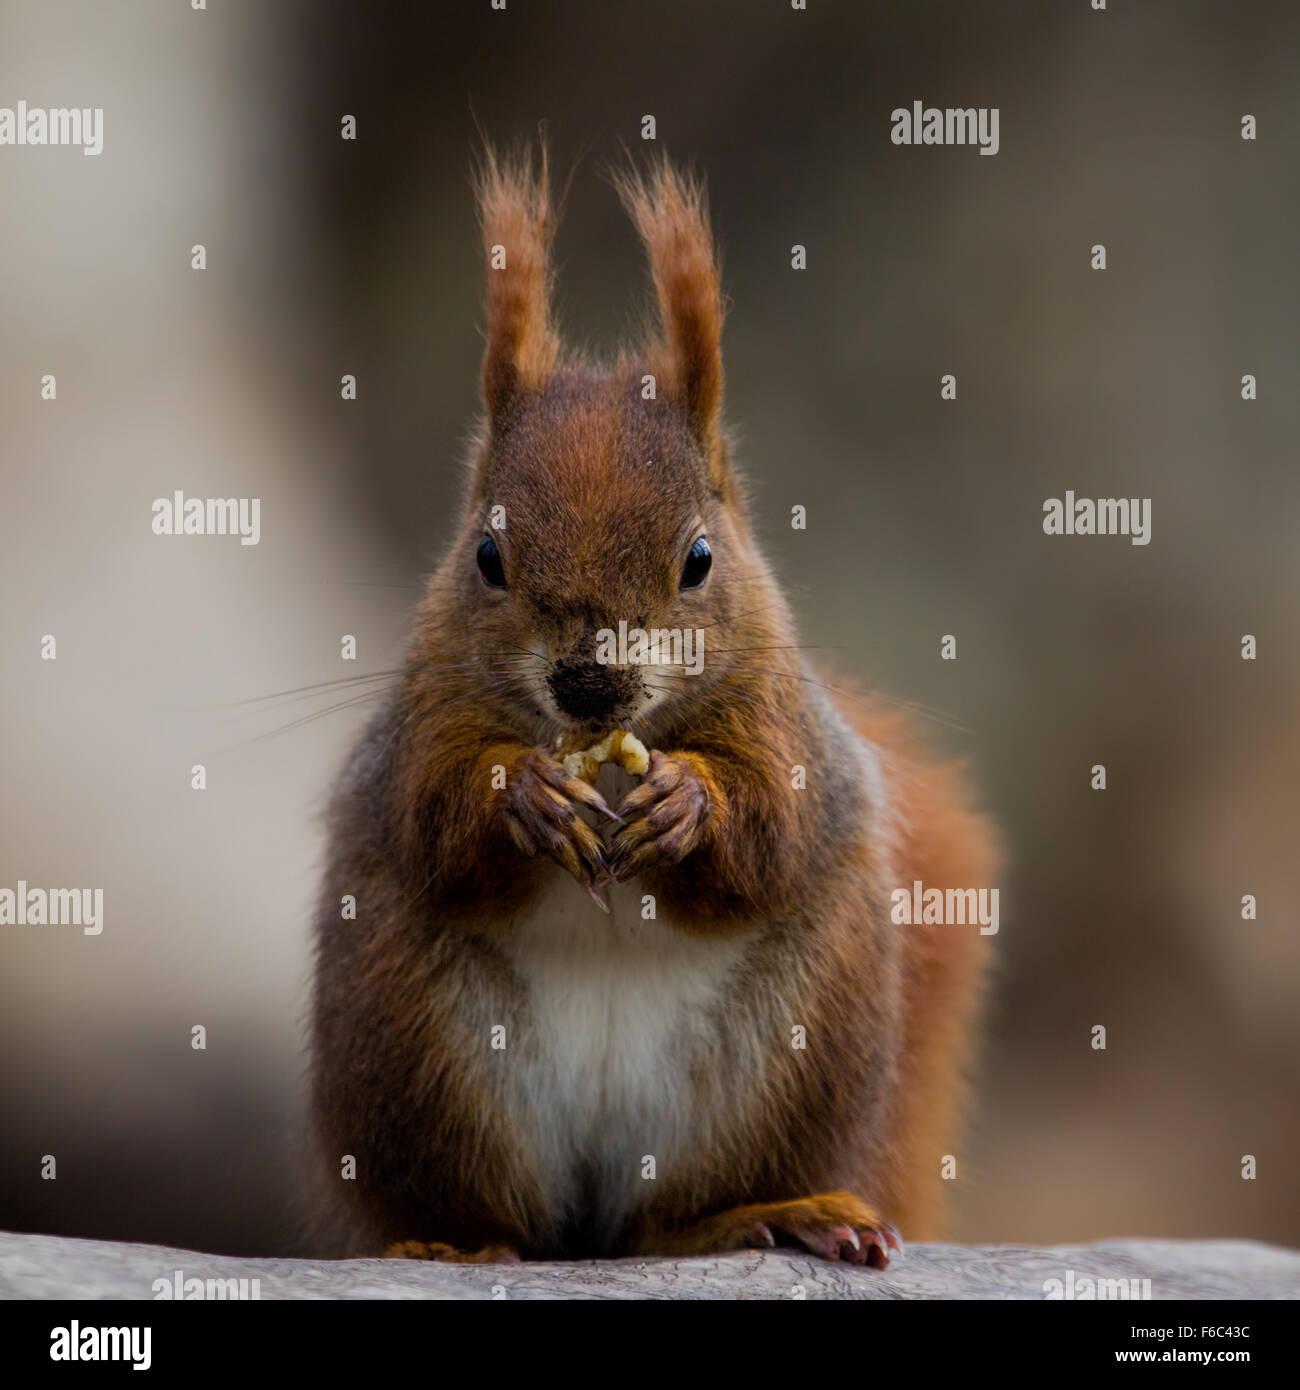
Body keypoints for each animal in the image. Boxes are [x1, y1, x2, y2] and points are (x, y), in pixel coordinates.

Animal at [307, 144, 997, 1268]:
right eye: (486, 556)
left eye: (699, 558)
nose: (589, 682)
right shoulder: (421, 720)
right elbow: (433, 818)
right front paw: (526, 796)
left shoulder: (783, 723)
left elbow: (775, 827)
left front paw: (689, 803)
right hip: (417, 1049)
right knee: (492, 1211)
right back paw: (448, 1246)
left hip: (791, 1055)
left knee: (664, 1221)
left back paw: (765, 1212)